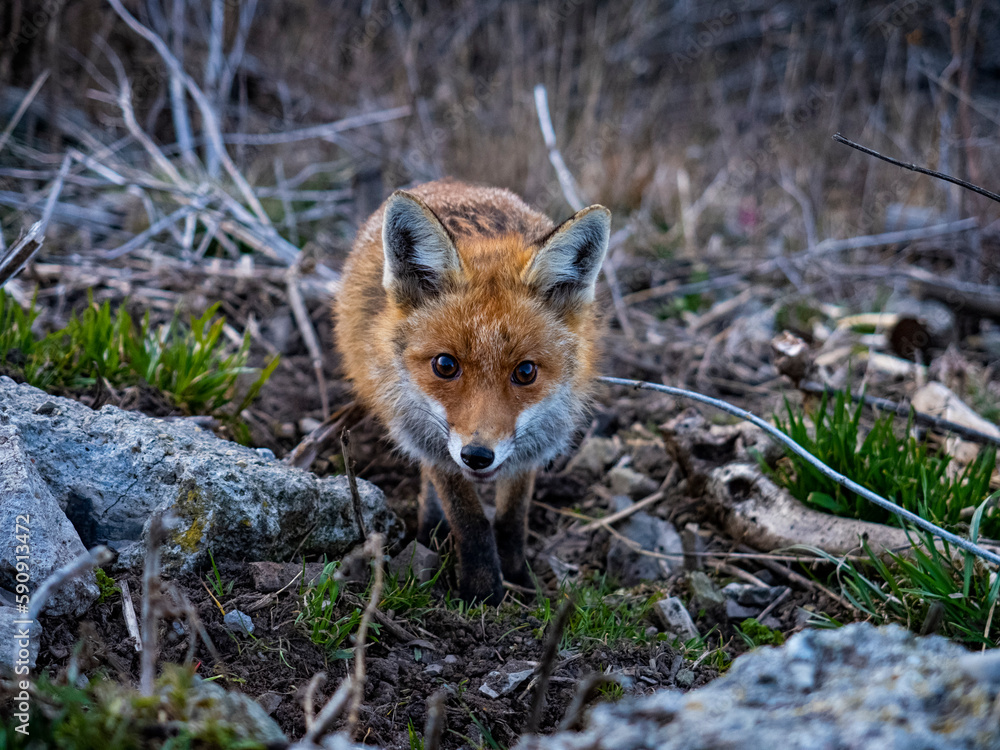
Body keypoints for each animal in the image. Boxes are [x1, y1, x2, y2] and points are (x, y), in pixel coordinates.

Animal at [335, 179, 610, 603]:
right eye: (445, 365)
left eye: (525, 371)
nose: (478, 457)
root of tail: (450, 183)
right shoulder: (431, 440)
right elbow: (470, 520)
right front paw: (482, 592)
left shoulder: (532, 445)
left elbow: (512, 519)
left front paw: (518, 579)